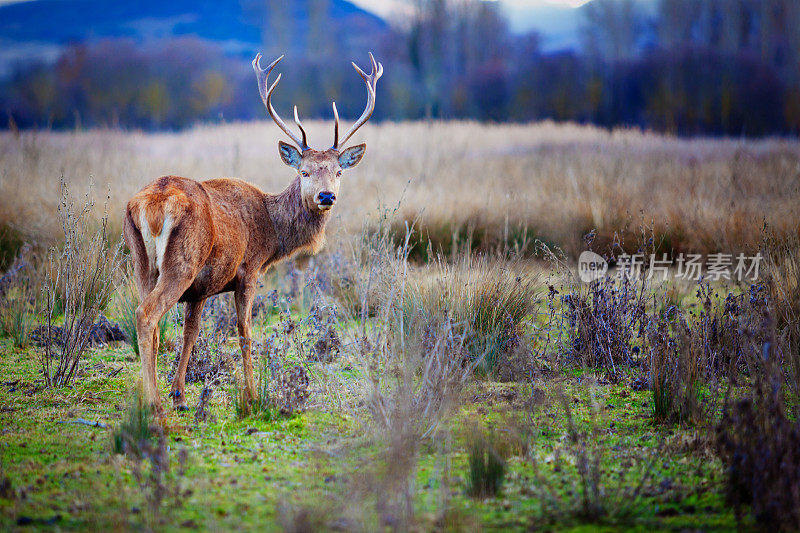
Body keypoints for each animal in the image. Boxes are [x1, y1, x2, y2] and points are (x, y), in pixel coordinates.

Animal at [123, 52, 382, 414]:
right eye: (304, 172)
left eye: (339, 171)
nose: (326, 196)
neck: (272, 233)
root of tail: (151, 203)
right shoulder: (248, 270)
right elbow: (245, 331)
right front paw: (252, 395)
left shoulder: (201, 289)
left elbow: (191, 332)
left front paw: (180, 394)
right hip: (182, 262)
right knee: (146, 314)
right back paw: (153, 403)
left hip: (141, 263)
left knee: (152, 318)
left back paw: (156, 396)